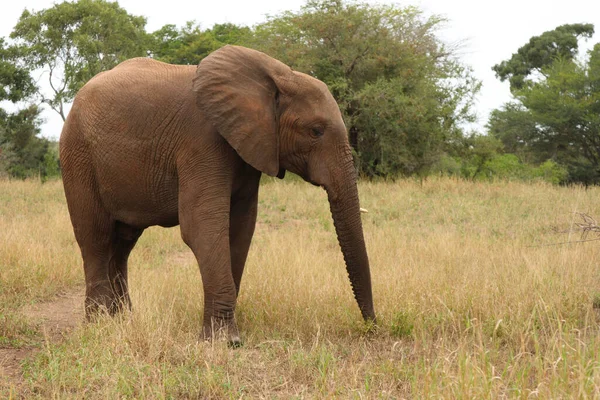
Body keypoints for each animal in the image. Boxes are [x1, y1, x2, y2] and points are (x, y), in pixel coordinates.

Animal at [58, 43, 372, 344]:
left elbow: (241, 228)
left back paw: (123, 321)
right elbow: (203, 227)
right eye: (315, 131)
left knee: (123, 243)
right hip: (77, 154)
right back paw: (99, 325)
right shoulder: (202, 142)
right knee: (96, 237)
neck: (278, 76)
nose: (371, 326)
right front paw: (226, 341)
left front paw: (218, 334)